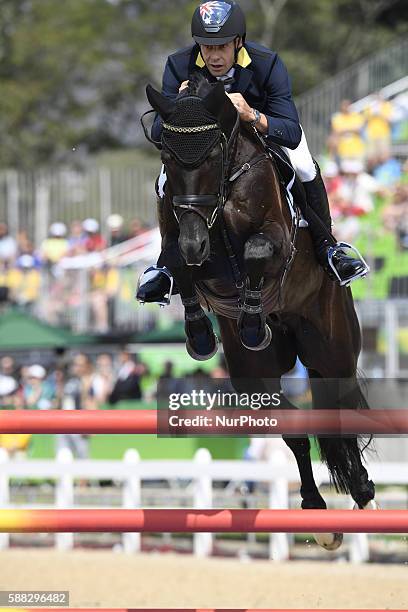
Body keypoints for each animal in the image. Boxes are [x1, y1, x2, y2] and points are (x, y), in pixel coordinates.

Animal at [145, 75, 378, 548]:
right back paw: (317, 512)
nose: (197, 242)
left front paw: (251, 317)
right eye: (167, 158)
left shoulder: (274, 240)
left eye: (213, 154)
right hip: (255, 375)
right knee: (293, 428)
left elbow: (253, 251)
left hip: (331, 347)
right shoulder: (181, 237)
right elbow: (178, 262)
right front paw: (201, 333)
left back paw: (363, 492)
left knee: (340, 403)